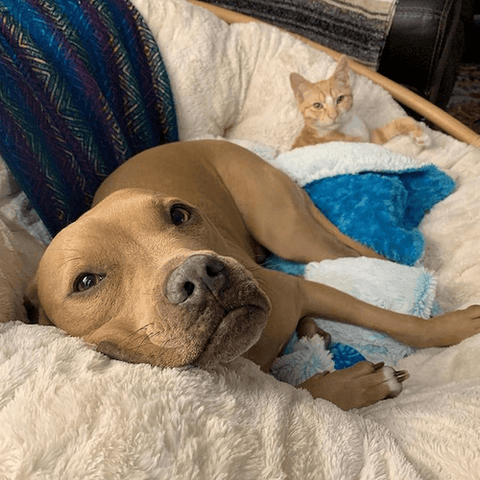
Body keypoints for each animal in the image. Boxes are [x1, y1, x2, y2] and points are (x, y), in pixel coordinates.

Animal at [26, 139, 480, 408]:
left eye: (179, 213)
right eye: (85, 282)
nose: (202, 275)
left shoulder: (302, 289)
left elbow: (392, 320)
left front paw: (449, 328)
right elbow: (301, 392)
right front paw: (353, 387)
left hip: (289, 232)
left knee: (354, 256)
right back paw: (315, 334)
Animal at [290, 54, 430, 149]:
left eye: (340, 99)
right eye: (317, 105)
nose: (333, 115)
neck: (347, 126)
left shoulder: (372, 138)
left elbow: (395, 125)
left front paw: (420, 135)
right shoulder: (365, 145)